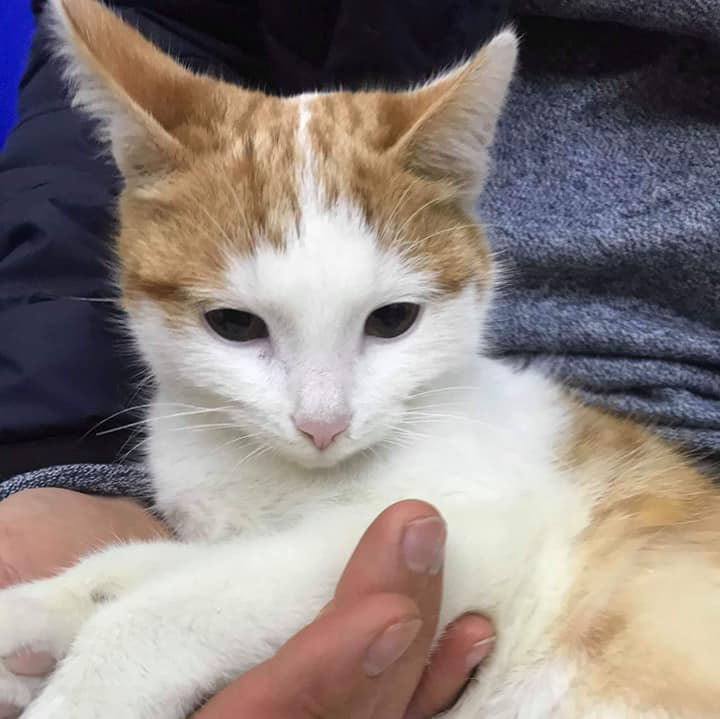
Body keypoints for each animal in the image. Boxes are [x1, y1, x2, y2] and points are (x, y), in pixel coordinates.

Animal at [1, 0, 719, 717]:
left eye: (392, 320)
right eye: (234, 325)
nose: (323, 425)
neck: (276, 475)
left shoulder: (479, 525)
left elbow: (191, 600)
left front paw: (88, 687)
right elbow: (150, 565)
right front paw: (41, 612)